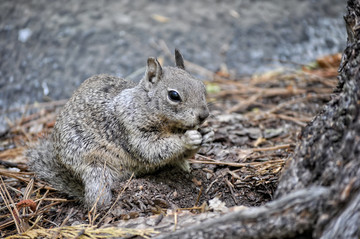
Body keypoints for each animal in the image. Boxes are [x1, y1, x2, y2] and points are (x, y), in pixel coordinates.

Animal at [27, 49, 214, 208]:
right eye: (174, 95)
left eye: (202, 87)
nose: (204, 115)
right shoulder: (130, 128)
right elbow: (151, 148)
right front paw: (187, 139)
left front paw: (207, 135)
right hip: (96, 170)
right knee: (94, 200)